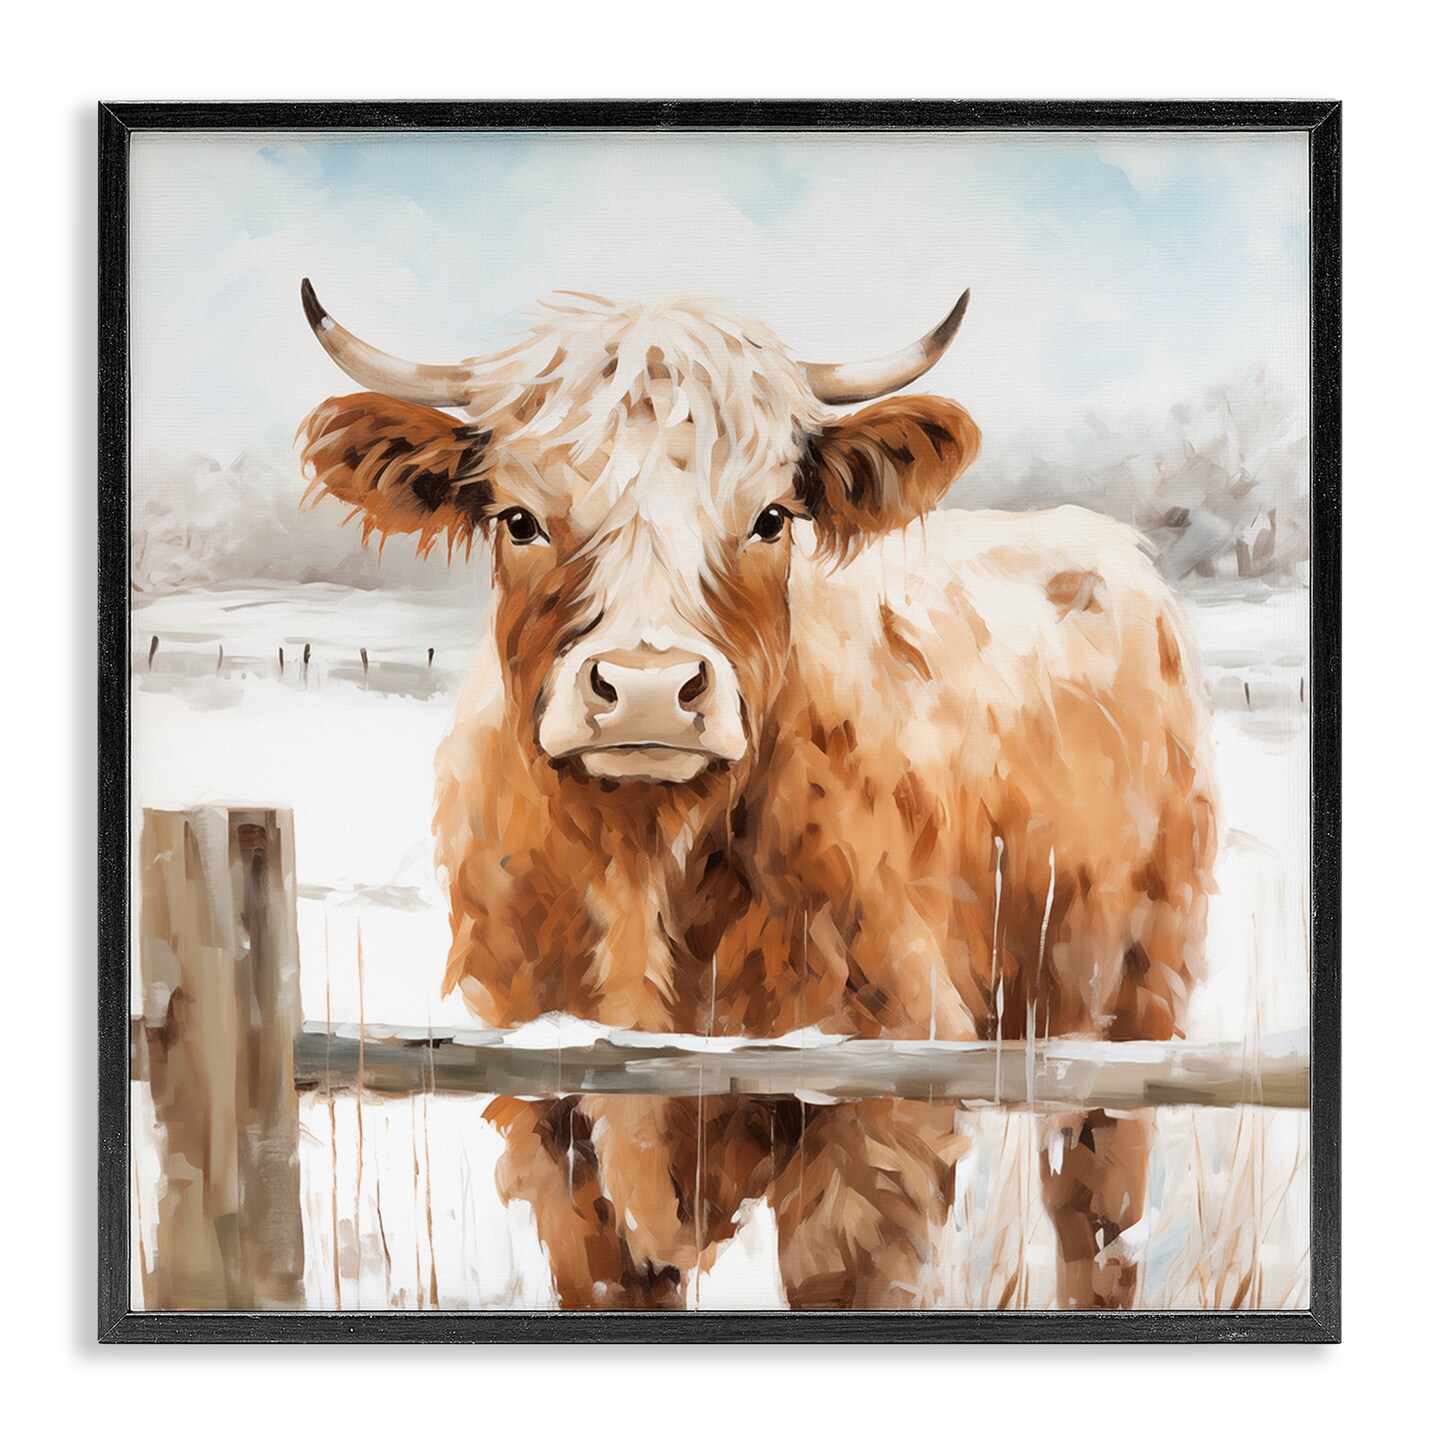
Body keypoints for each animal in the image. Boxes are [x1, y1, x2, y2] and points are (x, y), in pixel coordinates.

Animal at [297, 279, 1217, 1310]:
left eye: (772, 517)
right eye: (519, 518)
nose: (648, 686)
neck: (642, 869)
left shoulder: (881, 1104)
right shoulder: (550, 1122)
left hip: (1132, 999)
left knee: (1097, 1220)